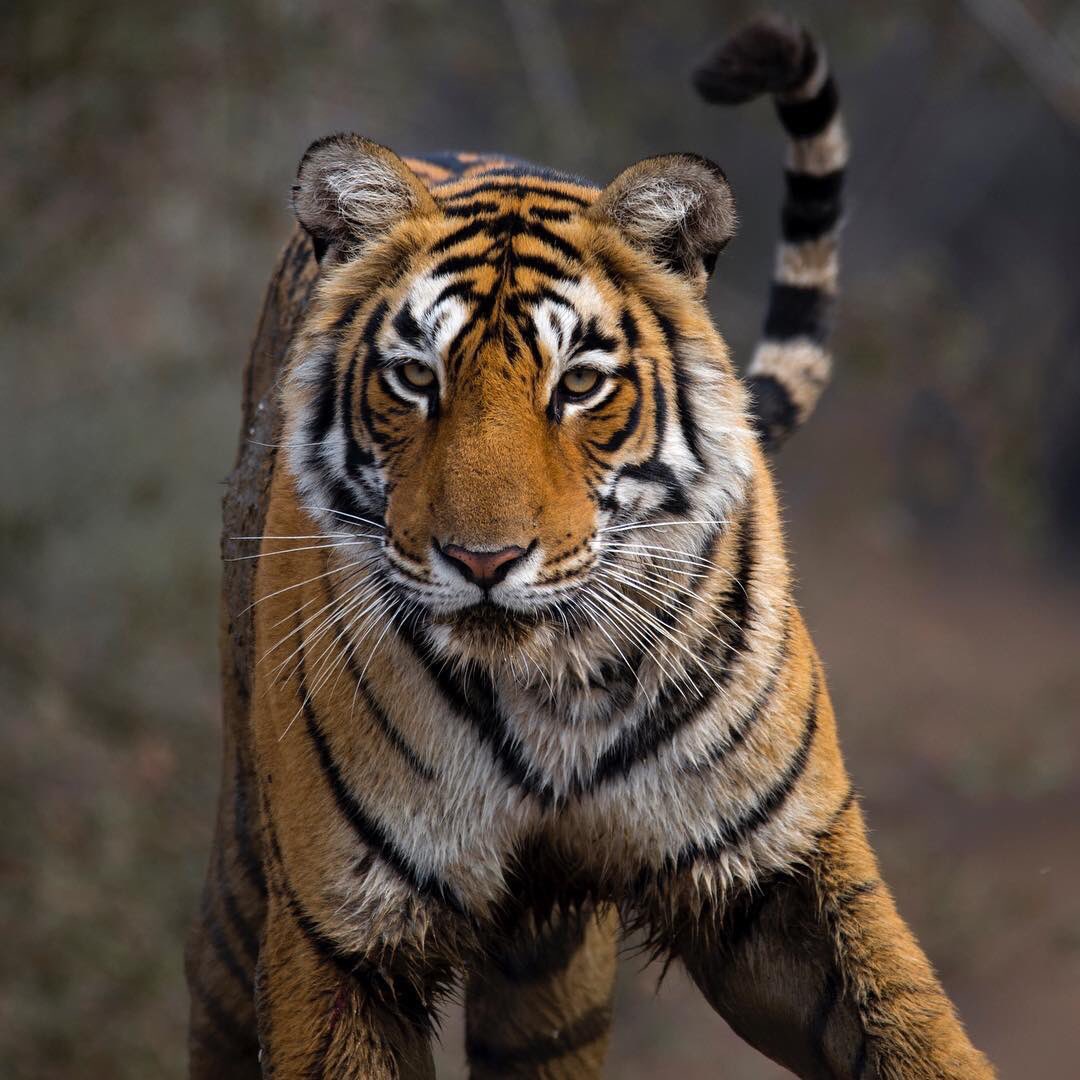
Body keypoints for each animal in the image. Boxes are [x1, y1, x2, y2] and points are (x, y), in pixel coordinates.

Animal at [186, 14, 995, 1079]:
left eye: (577, 383)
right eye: (414, 378)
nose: (483, 562)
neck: (551, 695)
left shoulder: (780, 865)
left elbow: (911, 1028)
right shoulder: (341, 934)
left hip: (551, 979)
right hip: (249, 867)